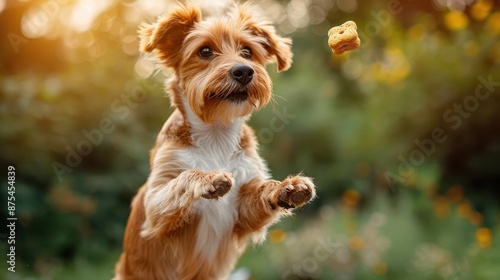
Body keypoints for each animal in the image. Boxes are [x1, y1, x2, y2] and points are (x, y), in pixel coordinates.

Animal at [115, 2, 314, 280]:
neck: (216, 133)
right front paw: (209, 178)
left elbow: (262, 191)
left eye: (247, 52)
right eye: (205, 51)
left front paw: (286, 187)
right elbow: (184, 177)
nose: (244, 71)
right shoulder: (154, 209)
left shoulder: (242, 211)